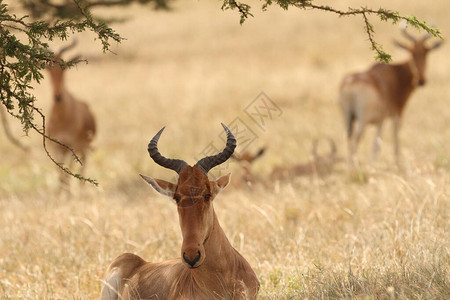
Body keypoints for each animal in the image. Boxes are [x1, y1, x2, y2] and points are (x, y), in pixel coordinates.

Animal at [45, 38, 96, 191]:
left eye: (64, 66)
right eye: (47, 67)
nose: (58, 97)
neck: (62, 118)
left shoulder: (72, 146)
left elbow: (68, 174)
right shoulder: (56, 147)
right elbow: (61, 174)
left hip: (84, 149)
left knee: (83, 169)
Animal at [340, 27, 442, 168]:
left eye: (426, 52)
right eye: (412, 52)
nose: (421, 81)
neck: (395, 74)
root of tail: (351, 83)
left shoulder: (380, 120)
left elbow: (377, 144)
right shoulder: (396, 115)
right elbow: (394, 141)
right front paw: (396, 165)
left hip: (347, 117)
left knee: (349, 138)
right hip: (363, 119)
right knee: (357, 138)